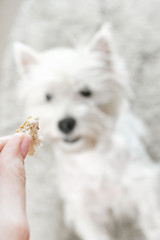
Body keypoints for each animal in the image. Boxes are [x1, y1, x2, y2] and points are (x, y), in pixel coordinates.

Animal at [13, 24, 160, 240]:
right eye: (48, 96)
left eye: (86, 92)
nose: (66, 124)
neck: (90, 156)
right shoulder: (83, 208)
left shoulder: (142, 187)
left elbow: (152, 221)